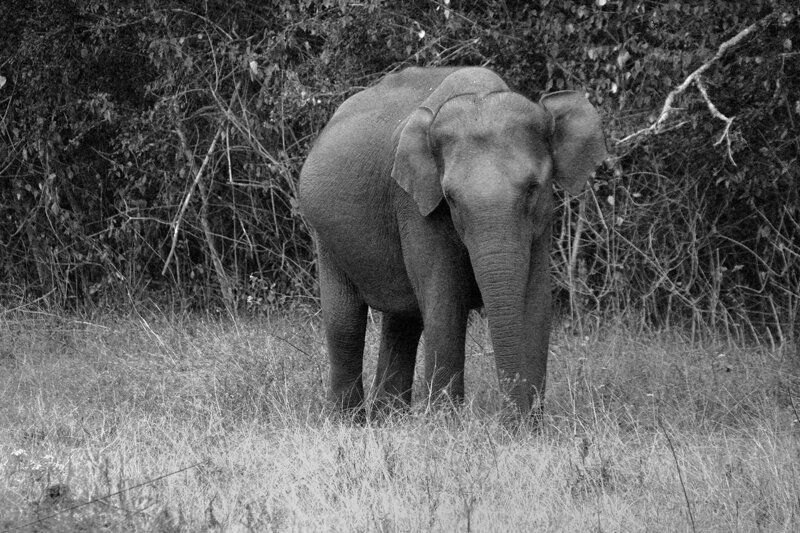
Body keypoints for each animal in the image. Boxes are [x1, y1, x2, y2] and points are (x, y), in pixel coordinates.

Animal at [300, 66, 608, 418]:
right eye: (450, 198)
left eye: (533, 188)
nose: (510, 421)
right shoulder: (415, 204)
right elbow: (444, 300)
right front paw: (446, 421)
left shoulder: (542, 223)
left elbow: (536, 301)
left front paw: (531, 425)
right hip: (324, 235)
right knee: (345, 323)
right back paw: (349, 420)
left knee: (402, 323)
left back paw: (390, 418)